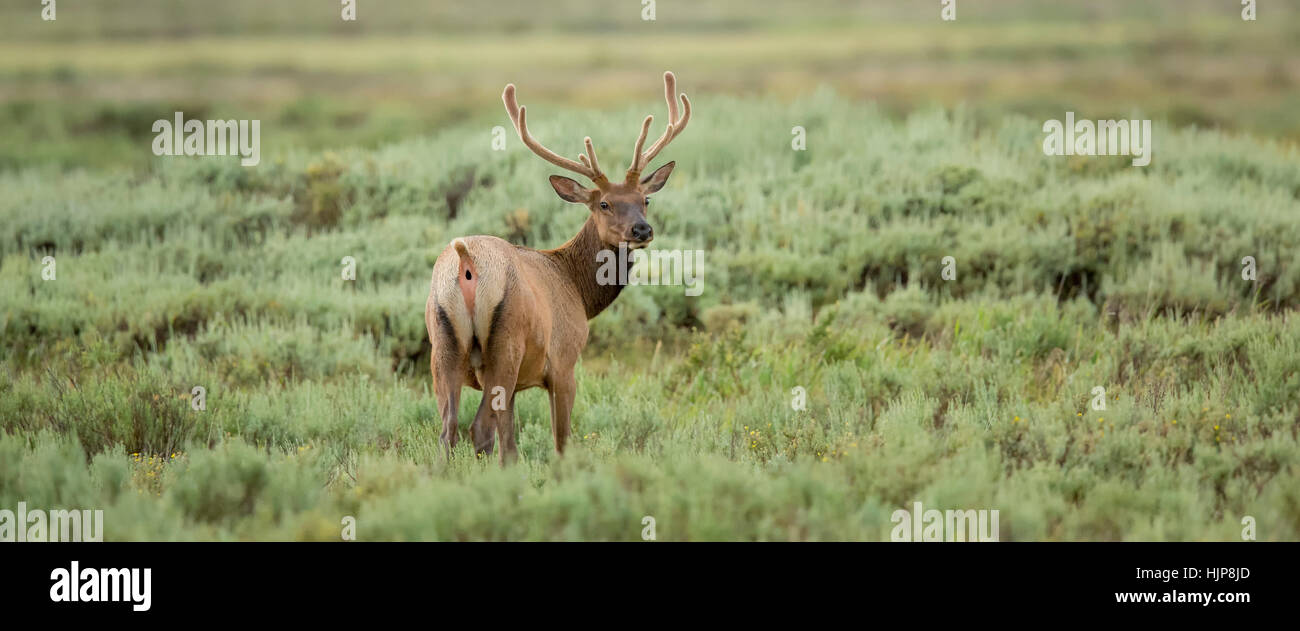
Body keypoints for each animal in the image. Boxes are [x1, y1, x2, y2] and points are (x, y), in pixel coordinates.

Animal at [423, 70, 691, 463]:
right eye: (604, 204)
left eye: (646, 199)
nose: (642, 230)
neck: (578, 290)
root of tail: (465, 260)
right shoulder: (565, 361)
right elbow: (561, 440)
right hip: (504, 347)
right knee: (482, 431)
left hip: (442, 346)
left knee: (448, 431)